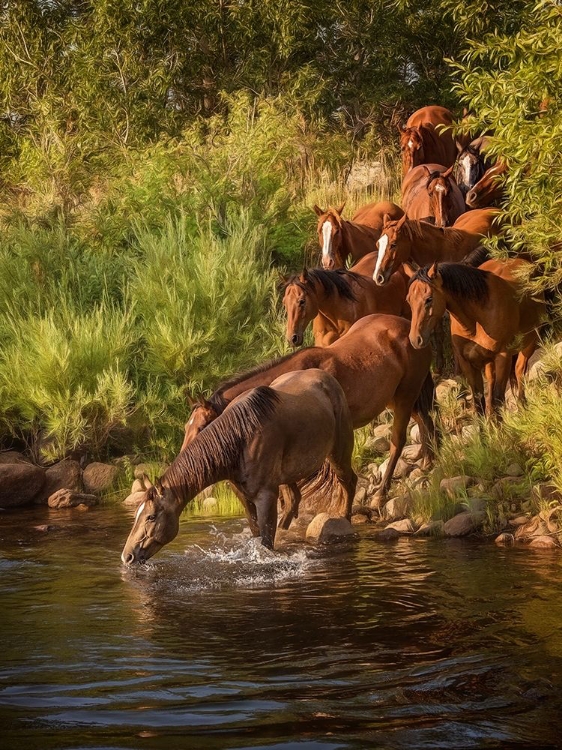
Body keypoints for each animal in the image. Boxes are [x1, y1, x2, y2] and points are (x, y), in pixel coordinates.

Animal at [121, 370, 354, 564]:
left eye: (151, 516)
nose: (127, 556)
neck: (241, 438)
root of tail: (327, 377)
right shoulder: (243, 495)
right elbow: (256, 532)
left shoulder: (265, 496)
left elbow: (266, 542)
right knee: (293, 500)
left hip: (338, 453)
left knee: (349, 481)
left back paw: (344, 521)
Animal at [182, 314, 436, 508]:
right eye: (187, 426)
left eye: (203, 426)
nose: (188, 460)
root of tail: (409, 327)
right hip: (397, 399)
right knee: (425, 421)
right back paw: (427, 461)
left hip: (404, 398)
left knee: (397, 442)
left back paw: (381, 495)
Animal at [402, 262, 544, 418]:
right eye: (409, 299)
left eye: (429, 299)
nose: (415, 339)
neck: (475, 322)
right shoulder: (468, 364)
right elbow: (478, 402)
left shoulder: (503, 358)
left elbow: (498, 398)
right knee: (492, 381)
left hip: (529, 344)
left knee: (519, 371)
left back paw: (522, 405)